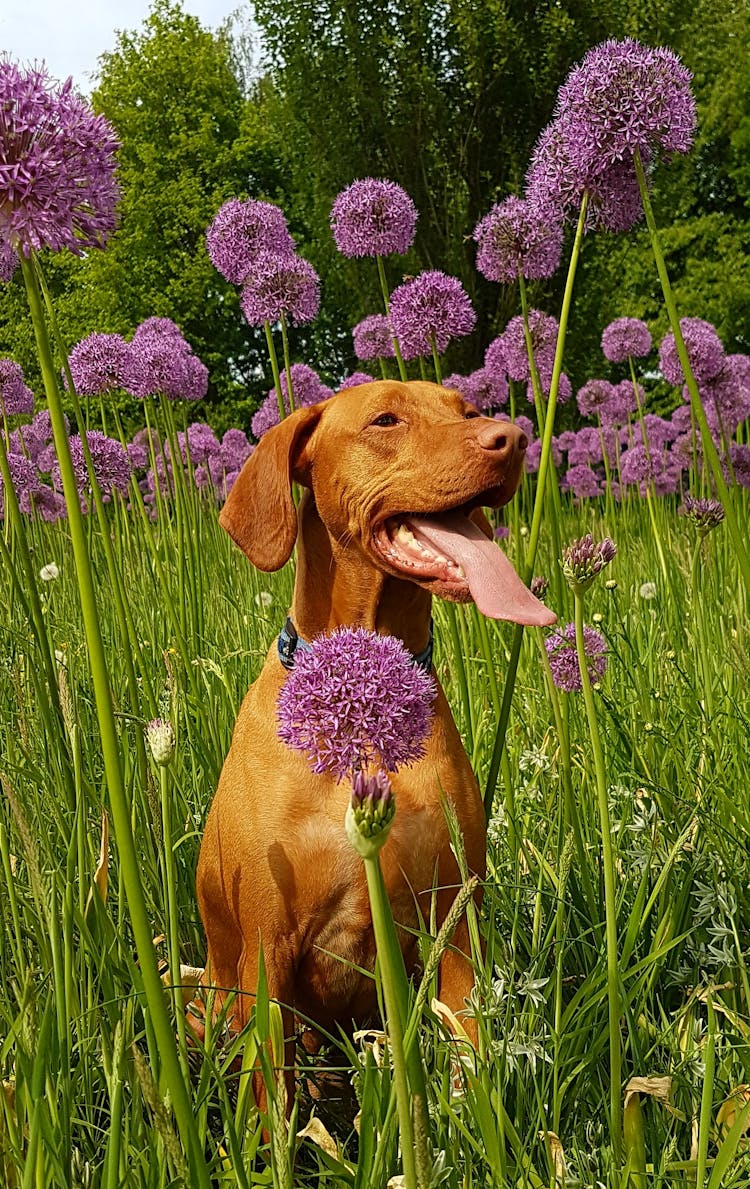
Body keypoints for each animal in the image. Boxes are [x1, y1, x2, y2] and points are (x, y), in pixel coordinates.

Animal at [196, 382, 553, 1103]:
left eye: (467, 411)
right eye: (386, 419)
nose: (511, 439)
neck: (363, 702)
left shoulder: (455, 925)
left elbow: (470, 1061)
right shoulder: (267, 946)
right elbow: (272, 1100)